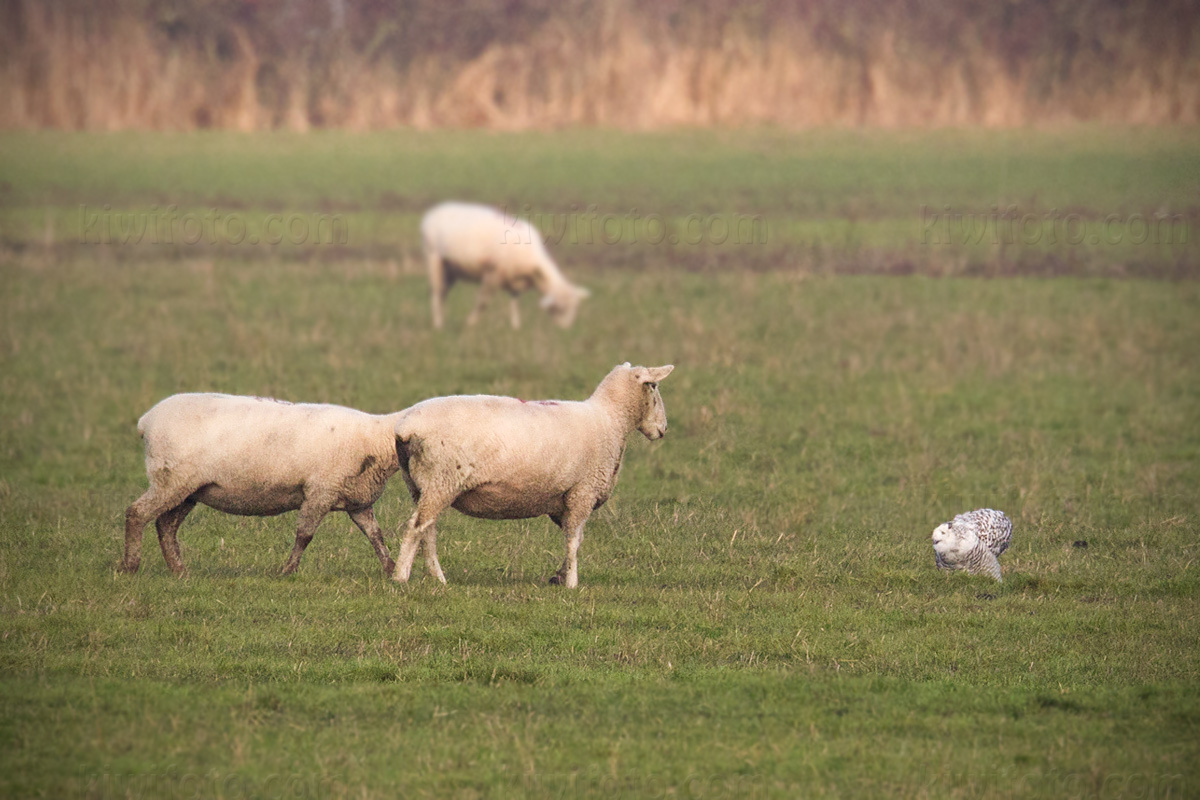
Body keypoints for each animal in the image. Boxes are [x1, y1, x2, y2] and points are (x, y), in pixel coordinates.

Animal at [120, 393, 403, 575]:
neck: (377, 439)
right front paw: (287, 571)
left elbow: (375, 535)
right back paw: (130, 567)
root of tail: (146, 421)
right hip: (169, 480)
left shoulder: (358, 501)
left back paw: (179, 570)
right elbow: (305, 535)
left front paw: (391, 569)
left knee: (165, 526)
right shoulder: (320, 492)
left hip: (188, 489)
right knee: (137, 513)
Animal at [393, 362, 676, 587]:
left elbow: (576, 539)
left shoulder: (567, 498)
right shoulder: (582, 491)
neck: (611, 420)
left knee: (427, 530)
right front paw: (572, 583)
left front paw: (559, 576)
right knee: (416, 528)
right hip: (442, 480)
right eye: (653, 386)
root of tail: (406, 426)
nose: (663, 428)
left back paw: (437, 578)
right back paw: (400, 576)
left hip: (422, 485)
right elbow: (574, 540)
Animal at [422, 201, 590, 331]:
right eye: (558, 308)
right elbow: (482, 303)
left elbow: (515, 302)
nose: (565, 331)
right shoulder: (493, 273)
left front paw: (516, 327)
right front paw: (470, 324)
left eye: (575, 308)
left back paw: (442, 320)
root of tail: (433, 212)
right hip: (433, 258)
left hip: (450, 269)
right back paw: (437, 324)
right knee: (436, 292)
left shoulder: (514, 277)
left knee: (443, 292)